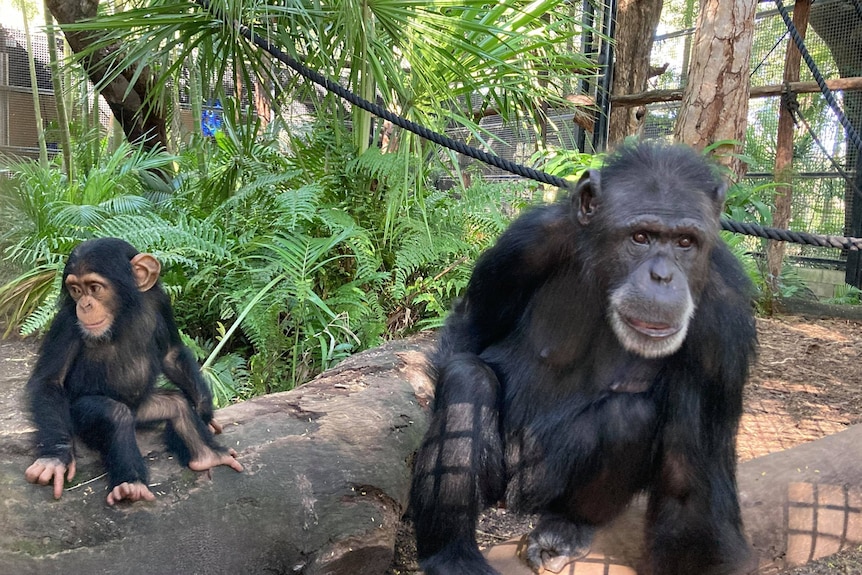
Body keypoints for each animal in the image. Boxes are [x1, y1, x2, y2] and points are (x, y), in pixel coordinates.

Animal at [26, 238, 243, 504]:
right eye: (76, 290)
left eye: (94, 288)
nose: (84, 305)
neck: (123, 313)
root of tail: (134, 410)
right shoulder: (66, 322)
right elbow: (50, 381)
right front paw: (55, 458)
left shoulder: (160, 301)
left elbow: (171, 354)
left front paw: (205, 413)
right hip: (77, 413)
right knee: (115, 414)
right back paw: (130, 485)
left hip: (145, 409)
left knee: (178, 404)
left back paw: (207, 456)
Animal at [412, 141, 756, 575]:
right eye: (640, 237)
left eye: (685, 243)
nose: (662, 277)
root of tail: (516, 502)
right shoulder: (527, 242)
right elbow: (473, 325)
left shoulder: (724, 322)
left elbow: (690, 484)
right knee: (467, 378)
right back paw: (452, 555)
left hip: (543, 486)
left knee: (629, 416)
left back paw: (565, 528)